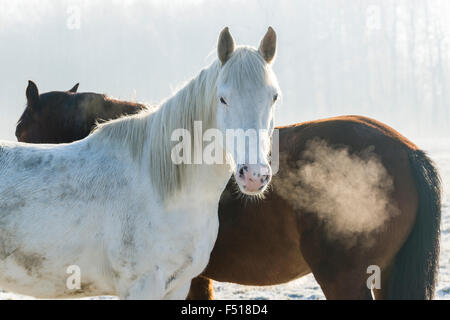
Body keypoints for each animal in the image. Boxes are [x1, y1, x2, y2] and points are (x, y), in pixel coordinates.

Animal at [0, 27, 280, 300]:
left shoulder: (177, 286)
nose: (254, 175)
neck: (161, 191)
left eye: (274, 97)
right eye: (223, 98)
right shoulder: (144, 285)